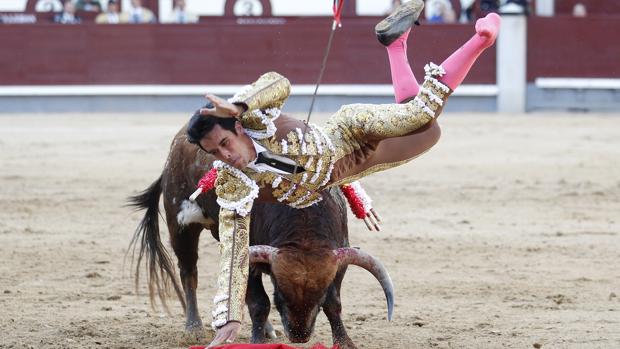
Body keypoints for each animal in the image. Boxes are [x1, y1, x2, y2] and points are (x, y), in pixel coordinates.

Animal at [128, 124, 394, 346]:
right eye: (280, 298)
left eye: (317, 301)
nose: (299, 336)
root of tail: (178, 144)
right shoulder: (247, 255)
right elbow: (258, 302)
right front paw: (256, 340)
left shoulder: (339, 257)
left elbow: (334, 302)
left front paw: (344, 342)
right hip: (181, 224)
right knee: (188, 273)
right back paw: (193, 329)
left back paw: (266, 330)